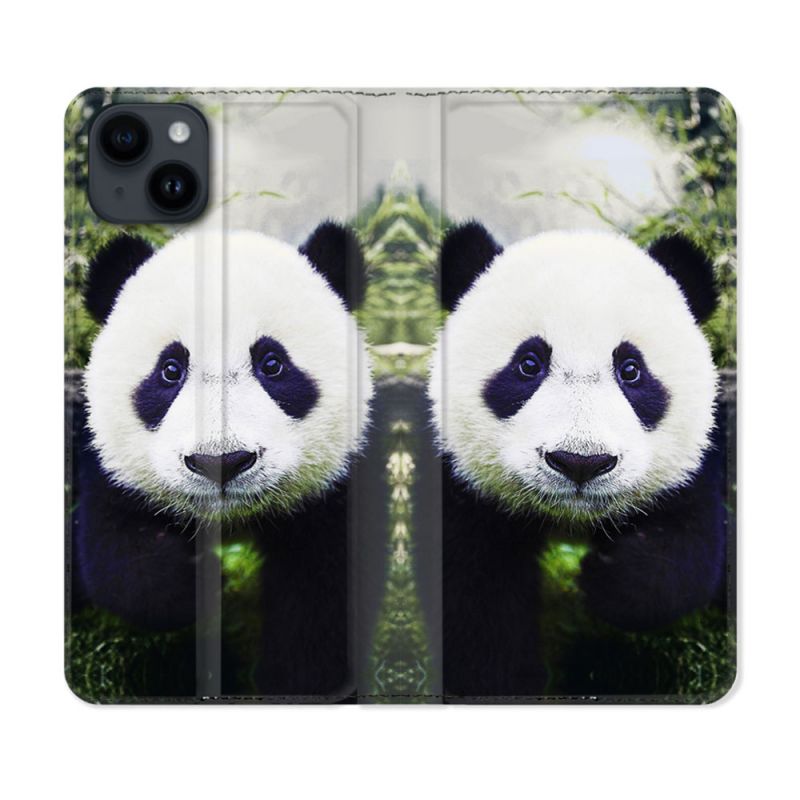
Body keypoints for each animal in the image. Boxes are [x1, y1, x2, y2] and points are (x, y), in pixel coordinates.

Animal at [73, 222, 372, 699]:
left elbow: (322, 603)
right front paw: (197, 581)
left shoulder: (335, 492)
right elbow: (119, 558)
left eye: (273, 364)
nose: (222, 463)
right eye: (170, 370)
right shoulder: (109, 468)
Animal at [428, 222, 728, 699]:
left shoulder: (692, 466)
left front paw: (606, 578)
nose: (580, 463)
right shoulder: (462, 488)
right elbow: (473, 602)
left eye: (631, 370)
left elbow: (685, 553)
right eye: (528, 364)